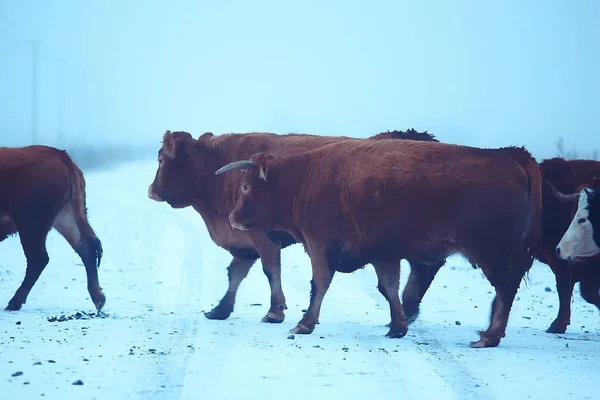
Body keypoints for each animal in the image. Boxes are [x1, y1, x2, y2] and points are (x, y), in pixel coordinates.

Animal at [0, 145, 105, 310]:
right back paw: (99, 299)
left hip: (31, 226)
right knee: (86, 247)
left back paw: (14, 302)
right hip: (66, 217)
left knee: (39, 259)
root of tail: (58, 154)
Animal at [145, 130, 436, 324]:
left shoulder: (261, 236)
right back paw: (408, 311)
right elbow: (235, 274)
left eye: (160, 159)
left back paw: (408, 310)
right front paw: (220, 310)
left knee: (424, 268)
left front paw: (275, 311)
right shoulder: (245, 242)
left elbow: (270, 269)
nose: (151, 189)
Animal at [217, 139, 544, 348]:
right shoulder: (383, 254)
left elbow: (319, 284)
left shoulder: (321, 246)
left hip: (490, 253)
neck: (303, 179)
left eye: (245, 186)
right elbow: (389, 288)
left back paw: (488, 337)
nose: (232, 217)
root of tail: (509, 156)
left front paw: (304, 323)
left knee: (505, 287)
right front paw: (397, 327)